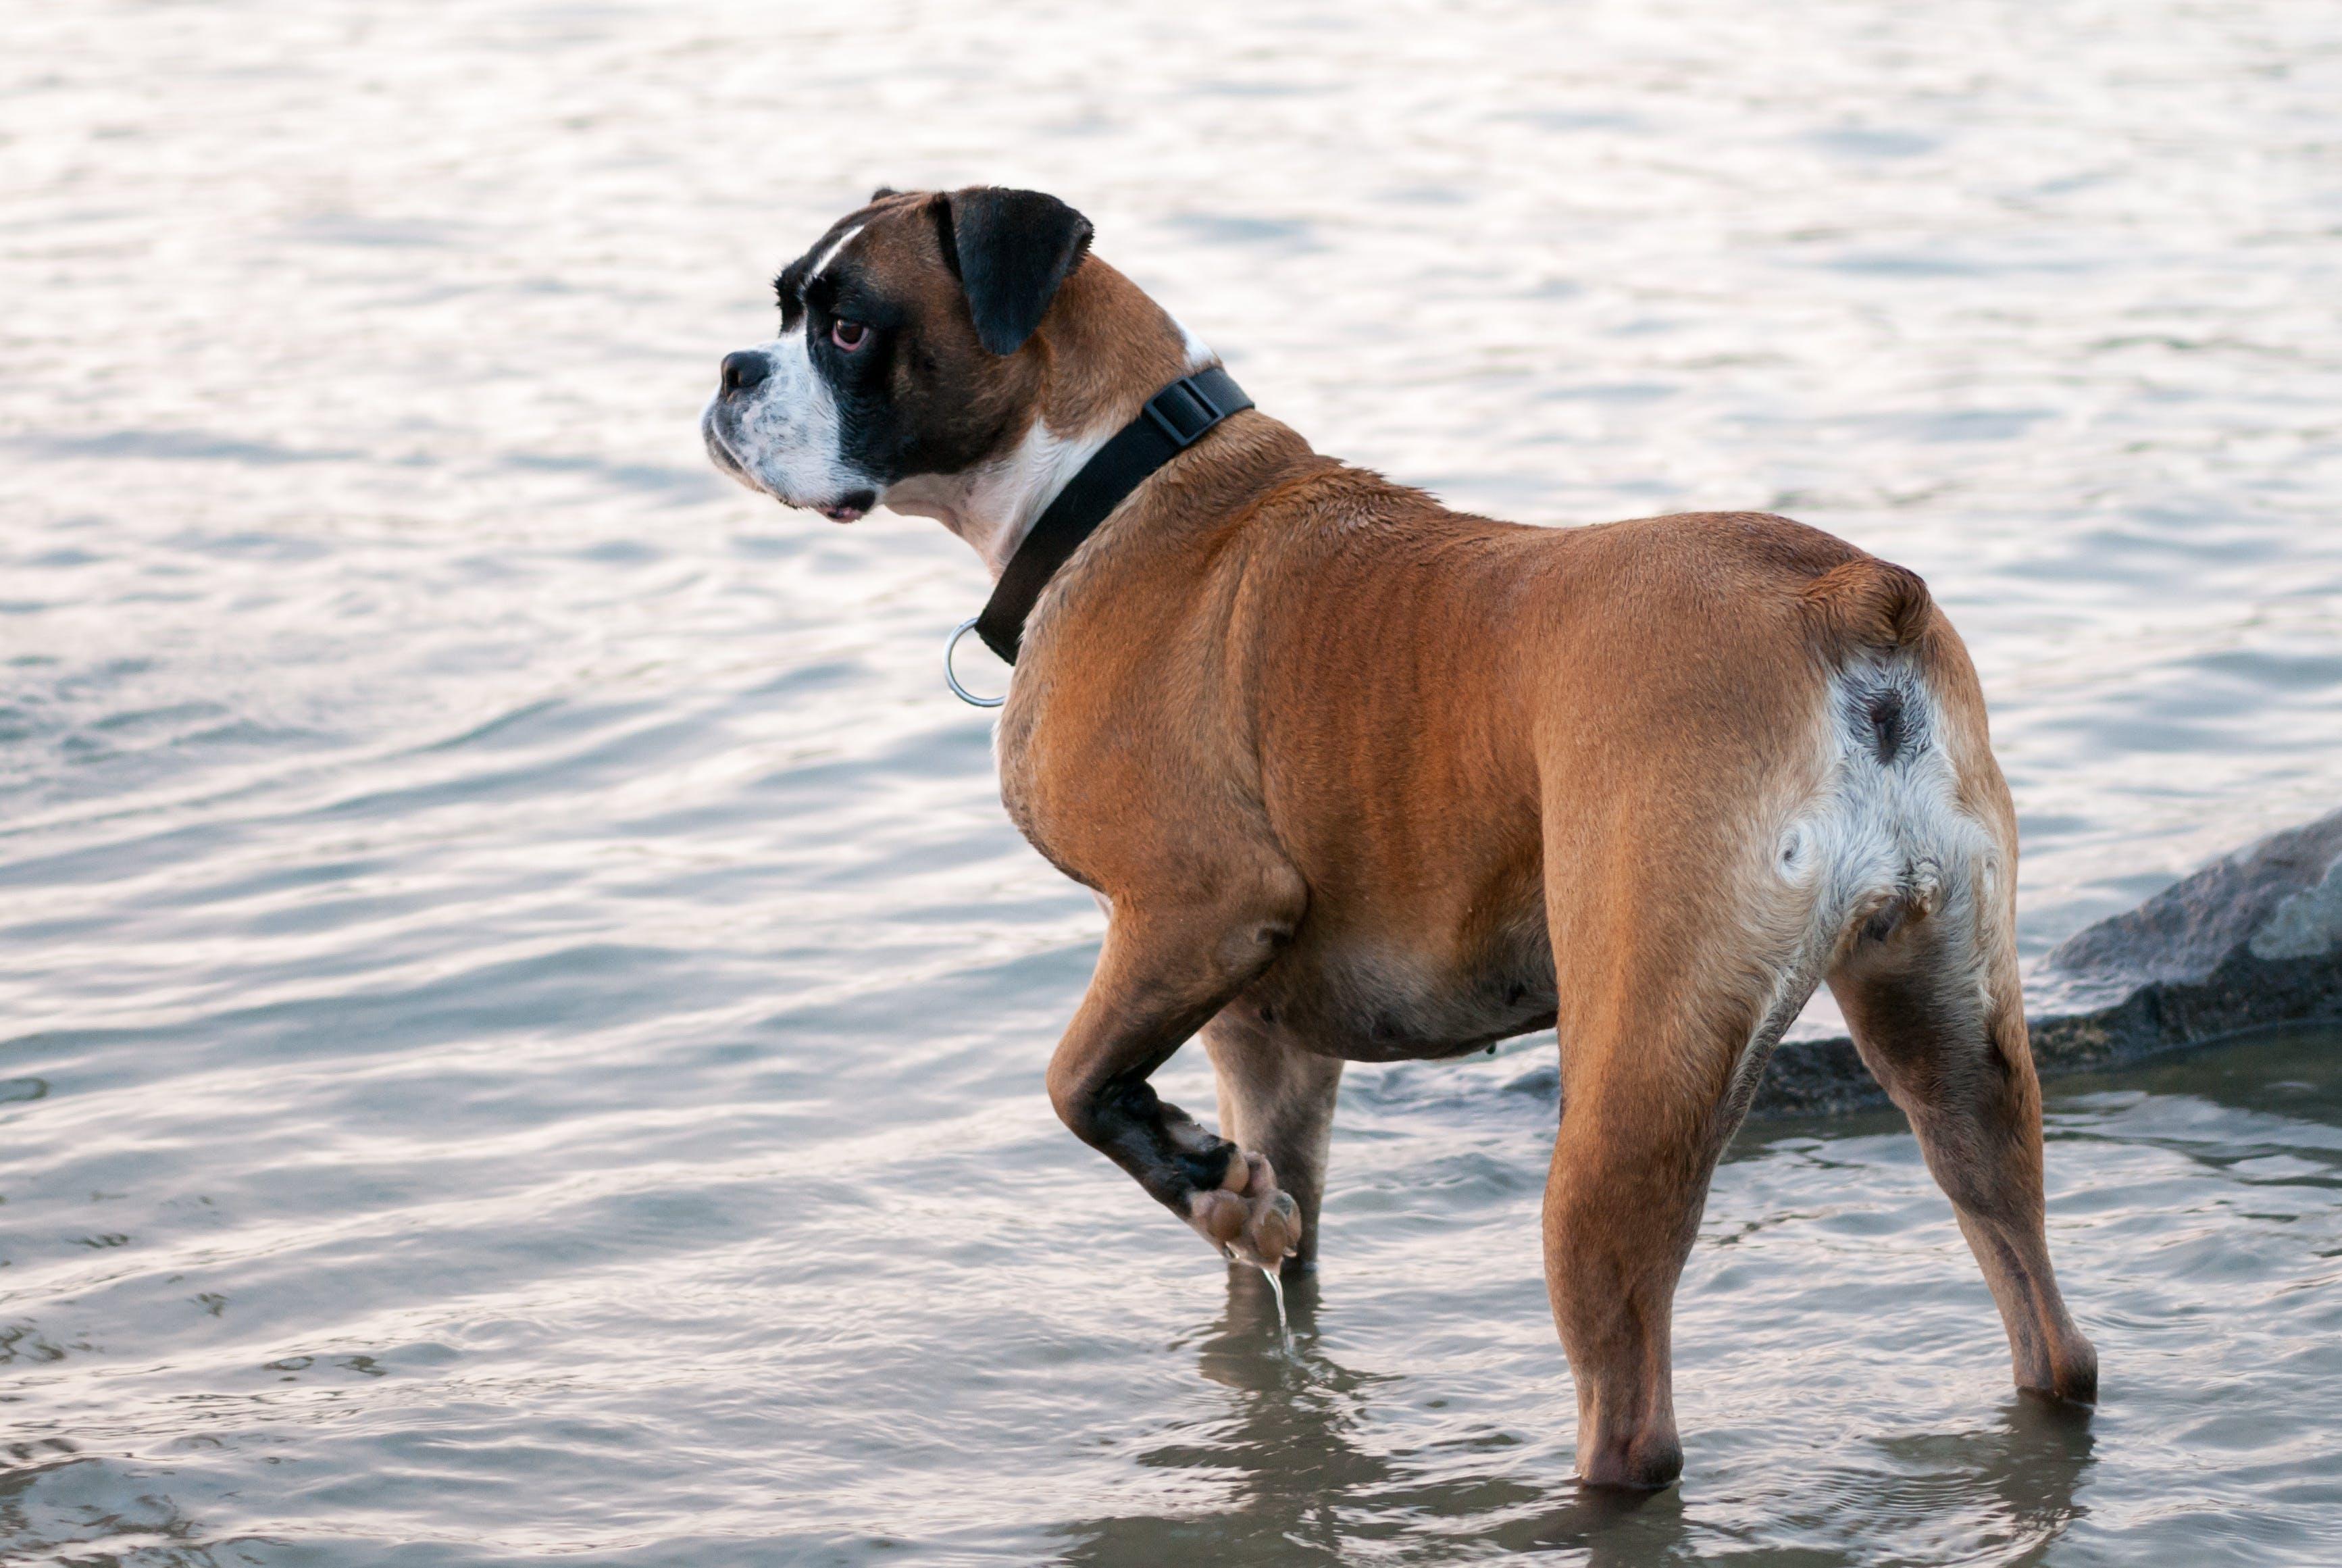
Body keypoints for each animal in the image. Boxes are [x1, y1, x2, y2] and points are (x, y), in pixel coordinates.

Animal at [698, 190, 2108, 1490]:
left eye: (846, 326)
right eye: (785, 305)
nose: (728, 372)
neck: (1113, 478)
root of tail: (1843, 600)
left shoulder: (1199, 908)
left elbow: (1073, 1079)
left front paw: (1201, 1178)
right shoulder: (1262, 1038)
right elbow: (1271, 1245)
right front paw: (1232, 1205)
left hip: (1626, 1097)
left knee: (1632, 1419)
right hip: (1952, 1045)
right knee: (2045, 1322)